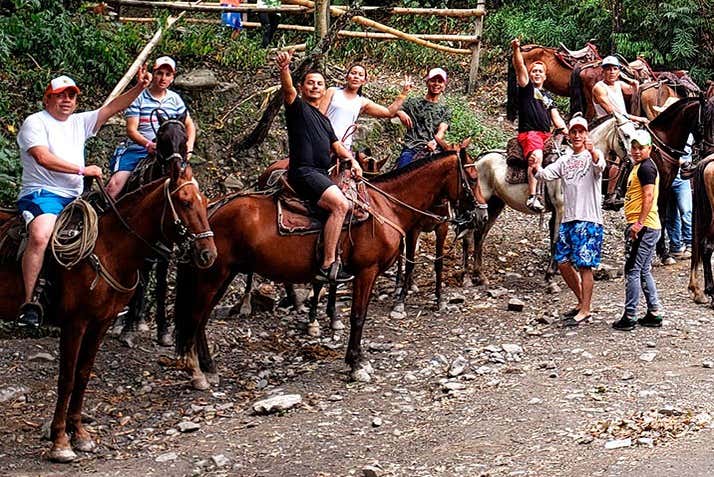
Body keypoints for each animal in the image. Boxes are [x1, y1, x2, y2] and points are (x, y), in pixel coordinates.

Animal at [0, 118, 216, 462]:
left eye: (205, 202)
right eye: (184, 202)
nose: (209, 254)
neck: (108, 249)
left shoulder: (99, 323)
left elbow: (83, 374)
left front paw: (80, 434)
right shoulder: (75, 323)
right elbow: (67, 377)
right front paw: (60, 442)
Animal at [173, 149, 486, 386]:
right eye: (472, 177)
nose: (481, 214)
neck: (385, 207)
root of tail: (208, 214)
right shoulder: (366, 272)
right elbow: (358, 316)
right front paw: (356, 364)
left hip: (224, 274)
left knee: (200, 320)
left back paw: (210, 369)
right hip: (213, 276)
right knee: (197, 317)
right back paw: (201, 373)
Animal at [458, 111, 636, 288]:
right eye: (626, 135)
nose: (633, 160)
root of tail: (477, 161)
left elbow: (557, 238)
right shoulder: (561, 208)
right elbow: (557, 238)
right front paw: (550, 276)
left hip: (495, 205)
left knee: (479, 235)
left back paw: (479, 275)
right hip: (480, 204)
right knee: (469, 236)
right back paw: (466, 277)